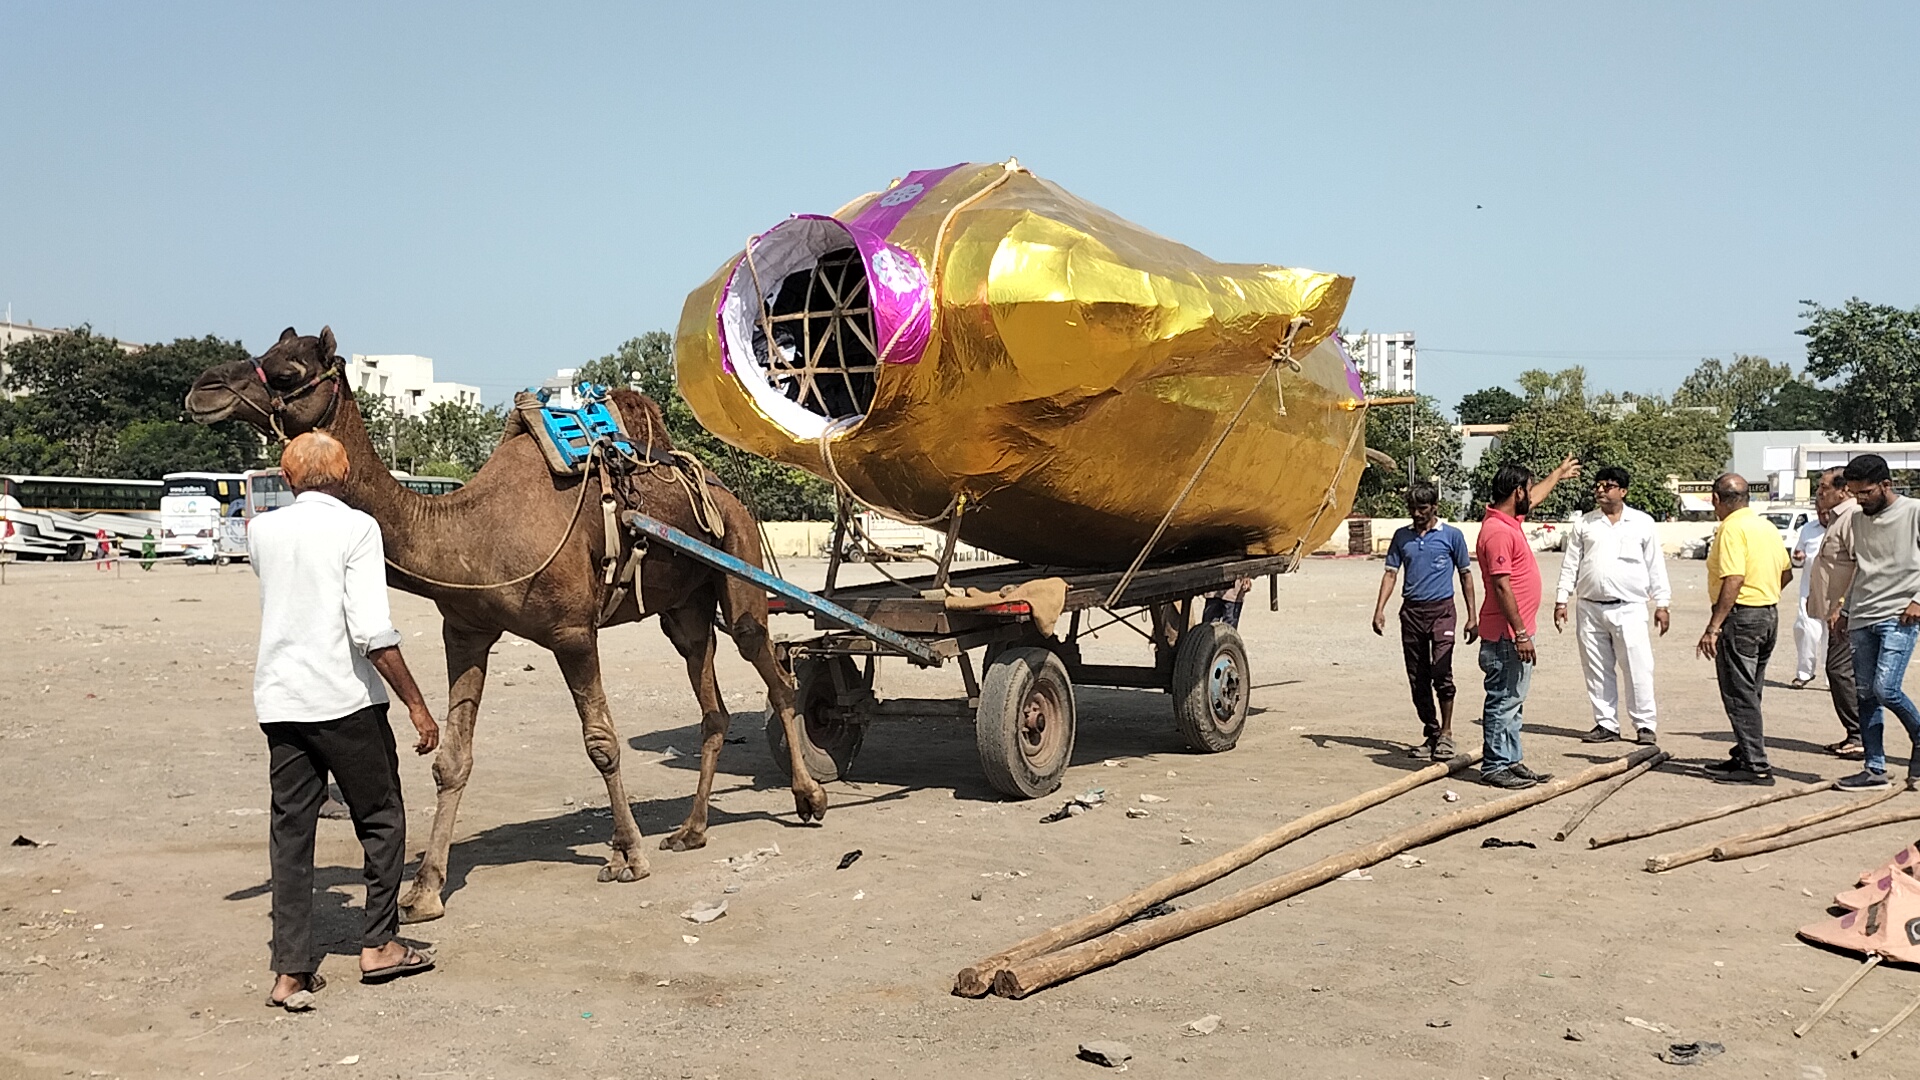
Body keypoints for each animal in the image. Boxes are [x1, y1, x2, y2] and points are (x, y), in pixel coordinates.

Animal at [181, 326, 833, 914]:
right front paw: (425, 890)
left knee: (772, 669)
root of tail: (724, 489)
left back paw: (810, 797)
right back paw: (692, 830)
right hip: (683, 608)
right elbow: (451, 760)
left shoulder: (572, 632)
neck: (471, 532)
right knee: (710, 697)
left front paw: (628, 857)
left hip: (739, 561)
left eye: (287, 370)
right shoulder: (466, 632)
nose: (201, 388)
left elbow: (602, 744)